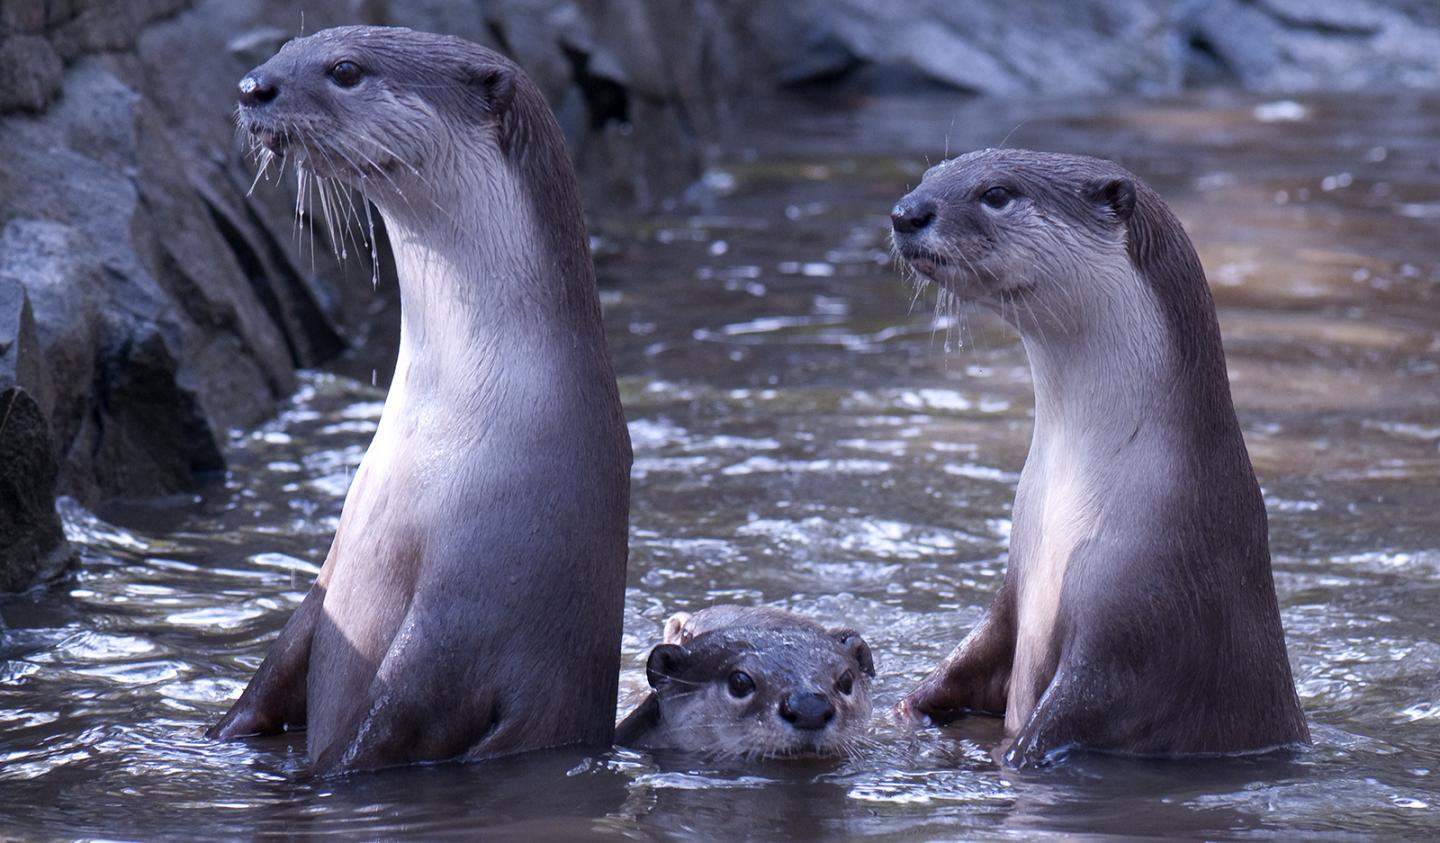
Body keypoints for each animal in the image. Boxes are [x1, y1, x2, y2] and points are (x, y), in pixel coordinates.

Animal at [205, 26, 633, 778]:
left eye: (346, 70)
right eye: (288, 44)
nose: (253, 86)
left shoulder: (474, 601)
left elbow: (397, 709)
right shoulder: (337, 562)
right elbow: (281, 657)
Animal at [881, 147, 1313, 766]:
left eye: (996, 193)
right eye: (928, 176)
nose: (906, 212)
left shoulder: (1141, 616)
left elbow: (1082, 704)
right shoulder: (1016, 587)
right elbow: (975, 655)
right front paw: (903, 709)